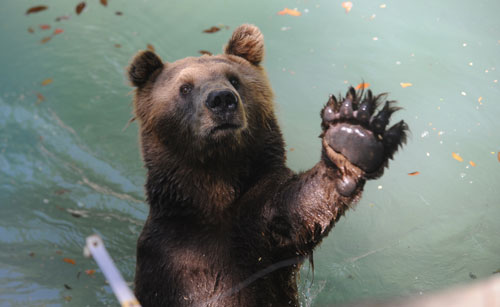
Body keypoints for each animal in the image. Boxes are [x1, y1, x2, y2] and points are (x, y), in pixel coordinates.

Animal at [127, 24, 408, 307]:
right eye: (184, 87)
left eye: (234, 79)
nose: (222, 99)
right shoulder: (170, 251)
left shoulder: (261, 229)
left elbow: (297, 210)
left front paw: (353, 137)